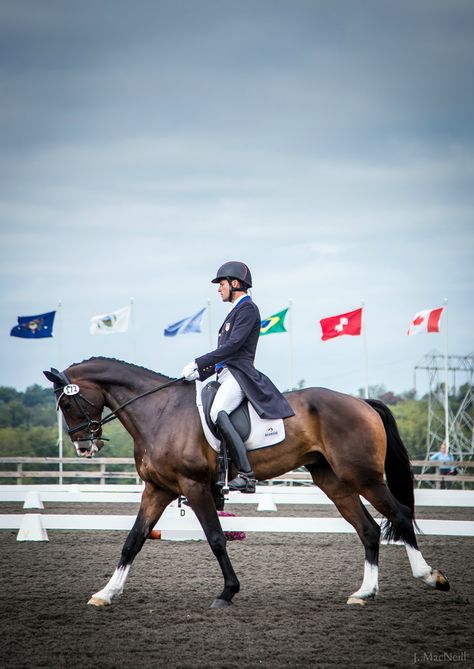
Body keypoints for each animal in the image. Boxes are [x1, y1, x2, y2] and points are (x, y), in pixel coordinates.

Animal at [42, 358, 450, 608]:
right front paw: (106, 593)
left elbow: (217, 539)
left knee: (399, 514)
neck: (159, 413)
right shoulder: (158, 489)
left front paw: (227, 592)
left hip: (362, 476)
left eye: (68, 404)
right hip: (334, 480)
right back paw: (365, 592)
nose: (84, 447)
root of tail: (362, 403)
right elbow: (133, 540)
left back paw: (431, 577)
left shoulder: (194, 486)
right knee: (368, 529)